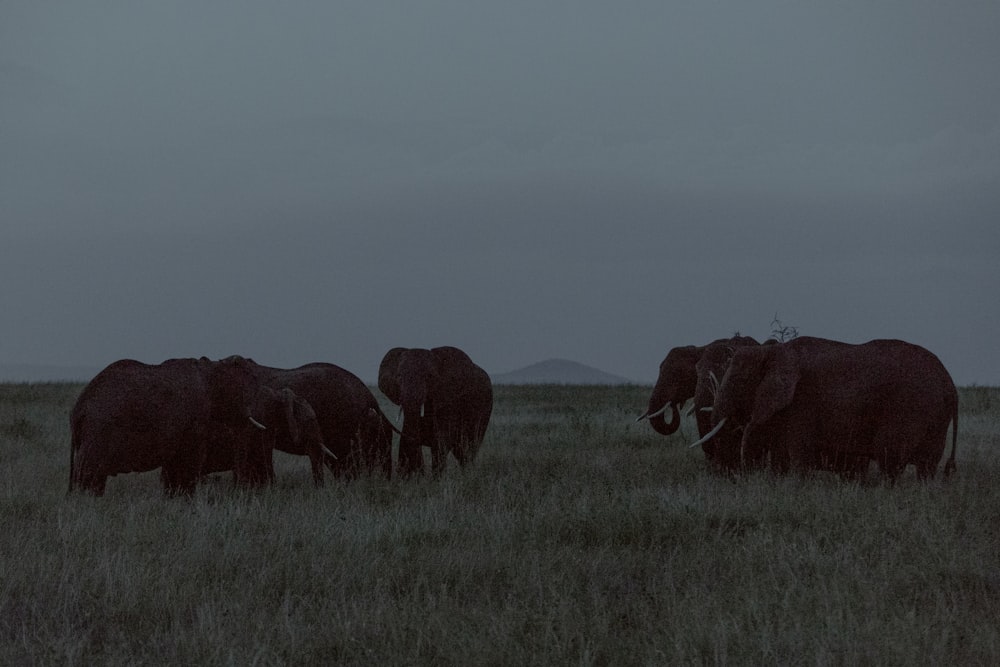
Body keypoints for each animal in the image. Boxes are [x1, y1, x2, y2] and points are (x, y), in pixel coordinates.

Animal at [68, 354, 268, 496]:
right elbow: (189, 459)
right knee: (89, 474)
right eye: (242, 392)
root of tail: (78, 408)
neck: (211, 368)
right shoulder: (195, 418)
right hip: (99, 431)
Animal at [376, 348, 494, 478]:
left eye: (429, 377)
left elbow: (441, 438)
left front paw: (436, 479)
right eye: (399, 377)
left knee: (468, 446)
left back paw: (468, 474)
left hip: (484, 407)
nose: (419, 471)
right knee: (461, 450)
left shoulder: (450, 399)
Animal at [692, 340, 956, 480]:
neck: (773, 351)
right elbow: (781, 456)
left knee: (890, 459)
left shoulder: (802, 404)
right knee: (926, 466)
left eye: (739, 380)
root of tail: (950, 385)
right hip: (935, 418)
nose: (734, 475)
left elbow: (798, 456)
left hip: (911, 409)